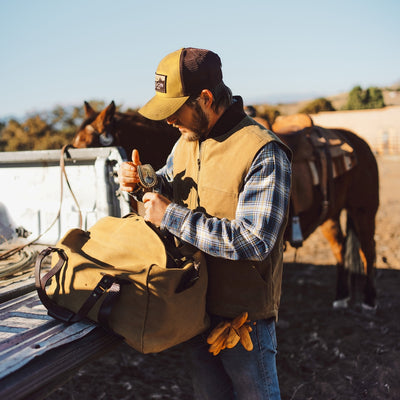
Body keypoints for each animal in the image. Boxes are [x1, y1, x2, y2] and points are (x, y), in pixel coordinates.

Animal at [73, 103, 380, 310]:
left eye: (90, 142)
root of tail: (358, 142)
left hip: (364, 210)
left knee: (368, 250)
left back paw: (368, 300)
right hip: (331, 215)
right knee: (340, 248)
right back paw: (341, 296)